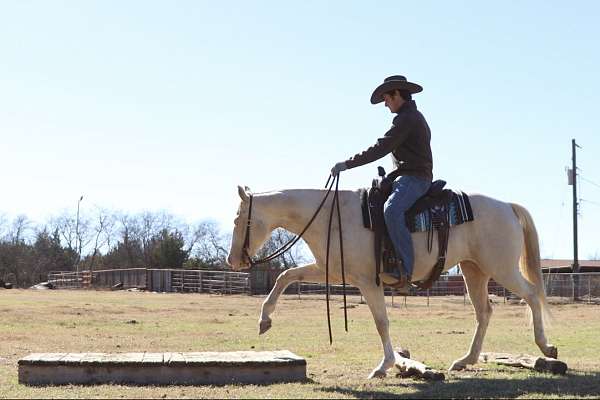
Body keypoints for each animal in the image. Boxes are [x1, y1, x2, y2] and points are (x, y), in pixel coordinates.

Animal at [226, 184, 556, 378]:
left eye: (238, 220)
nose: (232, 261)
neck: (330, 217)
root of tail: (507, 206)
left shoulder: (367, 282)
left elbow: (381, 321)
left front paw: (383, 366)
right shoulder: (330, 271)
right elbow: (286, 276)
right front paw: (264, 321)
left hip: (501, 268)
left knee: (531, 295)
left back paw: (546, 346)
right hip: (474, 270)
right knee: (484, 312)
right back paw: (465, 360)